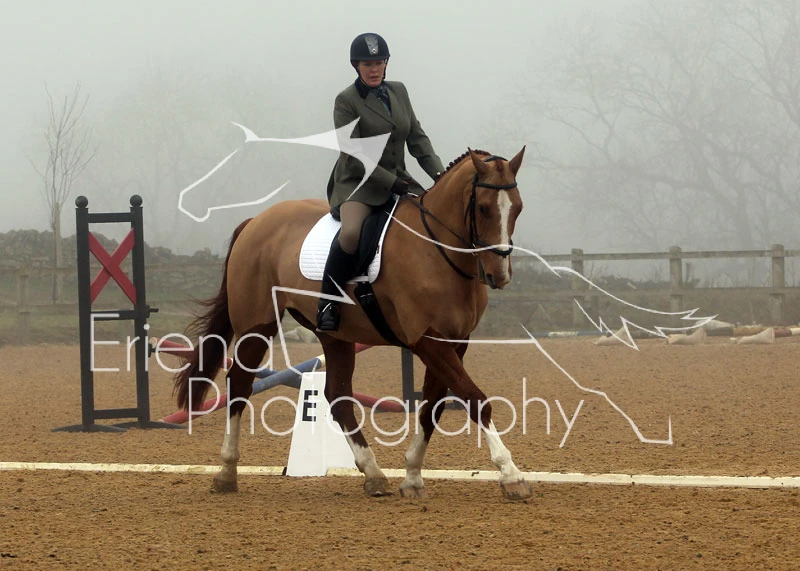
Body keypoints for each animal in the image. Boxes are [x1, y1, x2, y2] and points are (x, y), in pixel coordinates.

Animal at [174, 147, 531, 500]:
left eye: (518, 208)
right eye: (483, 208)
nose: (499, 275)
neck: (437, 251)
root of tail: (256, 222)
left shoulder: (456, 341)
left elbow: (432, 405)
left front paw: (412, 476)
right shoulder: (427, 340)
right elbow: (474, 399)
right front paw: (511, 475)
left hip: (335, 335)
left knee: (337, 395)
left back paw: (373, 473)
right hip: (257, 325)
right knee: (239, 384)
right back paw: (226, 472)